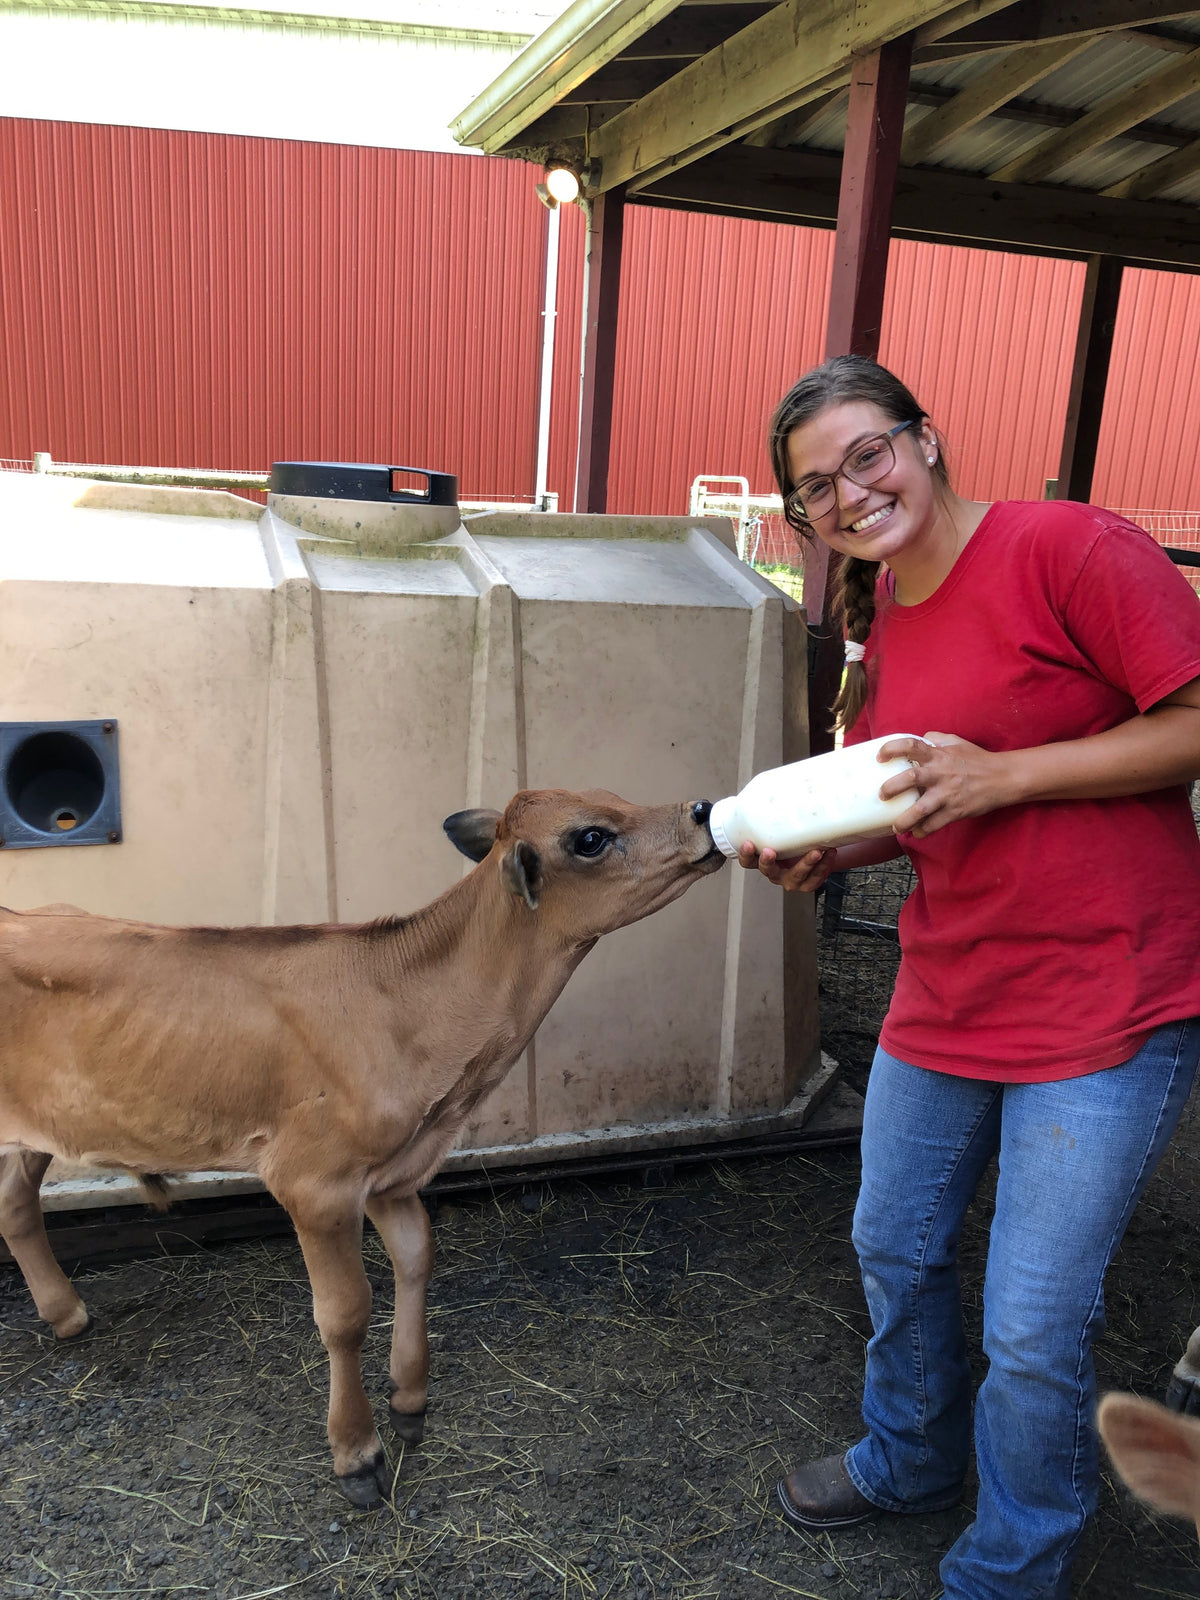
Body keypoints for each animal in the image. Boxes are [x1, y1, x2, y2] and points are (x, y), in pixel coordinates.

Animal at [0, 788, 723, 1508]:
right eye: (590, 838)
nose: (702, 810)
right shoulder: (314, 1183)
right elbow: (346, 1314)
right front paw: (357, 1453)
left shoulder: (393, 1175)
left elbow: (417, 1260)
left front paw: (409, 1398)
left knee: (15, 1205)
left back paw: (67, 1315)